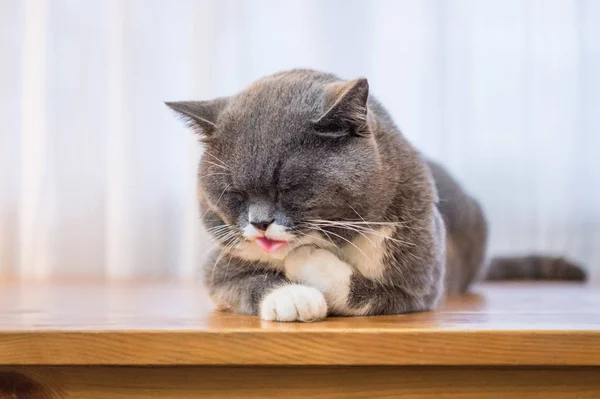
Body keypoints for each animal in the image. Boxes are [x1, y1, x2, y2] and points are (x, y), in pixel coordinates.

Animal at [168, 70, 584, 324]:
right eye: (233, 193)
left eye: (290, 186)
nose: (259, 223)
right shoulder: (219, 261)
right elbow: (241, 281)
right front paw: (292, 298)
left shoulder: (420, 285)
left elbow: (364, 290)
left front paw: (308, 262)